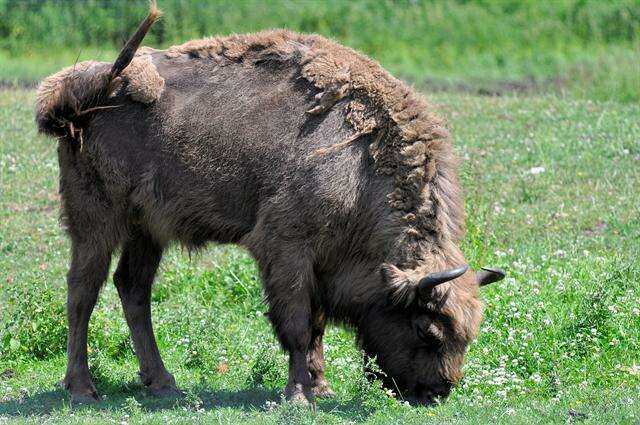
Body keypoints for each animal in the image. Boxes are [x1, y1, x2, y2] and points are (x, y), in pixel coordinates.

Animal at [35, 4, 504, 406]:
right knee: (83, 292)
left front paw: (321, 387)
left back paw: (163, 383)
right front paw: (299, 395)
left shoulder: (317, 262)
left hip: (147, 228)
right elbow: (297, 325)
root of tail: (77, 93)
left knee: (133, 288)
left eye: (469, 335)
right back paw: (83, 388)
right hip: (96, 220)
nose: (436, 392)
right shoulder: (287, 248)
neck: (362, 163)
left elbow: (316, 325)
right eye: (428, 331)